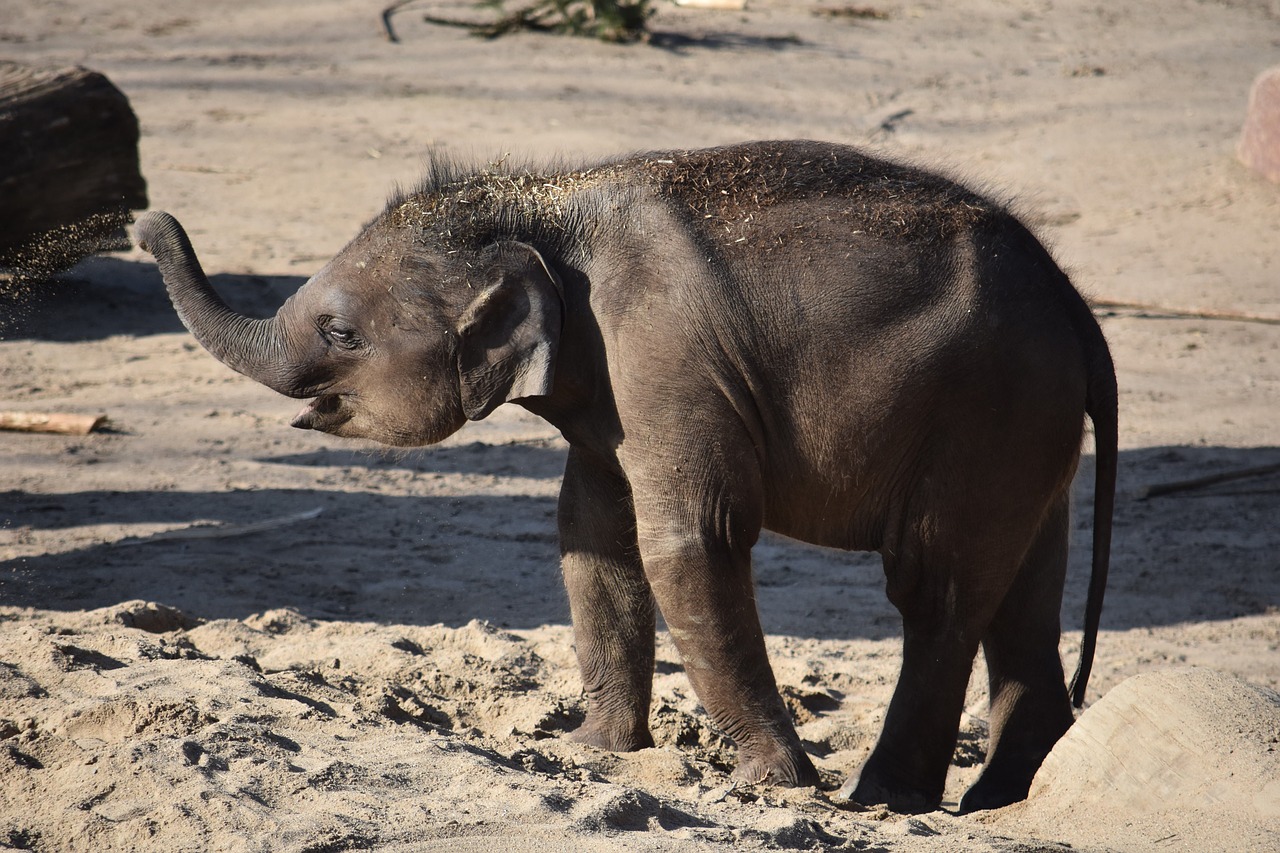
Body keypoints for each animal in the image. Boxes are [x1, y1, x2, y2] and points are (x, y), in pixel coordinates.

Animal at [140, 139, 1116, 809]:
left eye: (341, 332)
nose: (143, 221)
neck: (544, 208)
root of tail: (1076, 302)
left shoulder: (666, 352)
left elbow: (688, 540)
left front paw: (774, 786)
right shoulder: (610, 385)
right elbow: (592, 537)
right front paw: (596, 753)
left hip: (986, 410)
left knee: (934, 588)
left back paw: (884, 798)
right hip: (1028, 428)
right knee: (1024, 591)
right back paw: (999, 797)